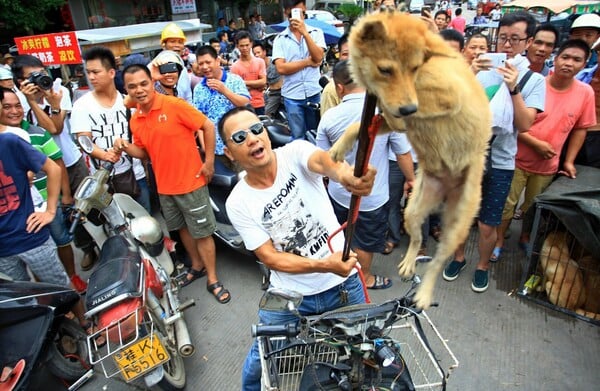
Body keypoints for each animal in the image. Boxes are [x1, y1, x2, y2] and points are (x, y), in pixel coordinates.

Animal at [328, 10, 492, 310]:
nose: (407, 109)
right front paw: (339, 147)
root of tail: (447, 190)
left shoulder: (447, 96)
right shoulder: (391, 112)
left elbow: (408, 107)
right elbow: (360, 125)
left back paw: (424, 293)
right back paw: (407, 263)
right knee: (416, 238)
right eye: (386, 70)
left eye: (415, 68)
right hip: (412, 210)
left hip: (457, 224)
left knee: (438, 261)